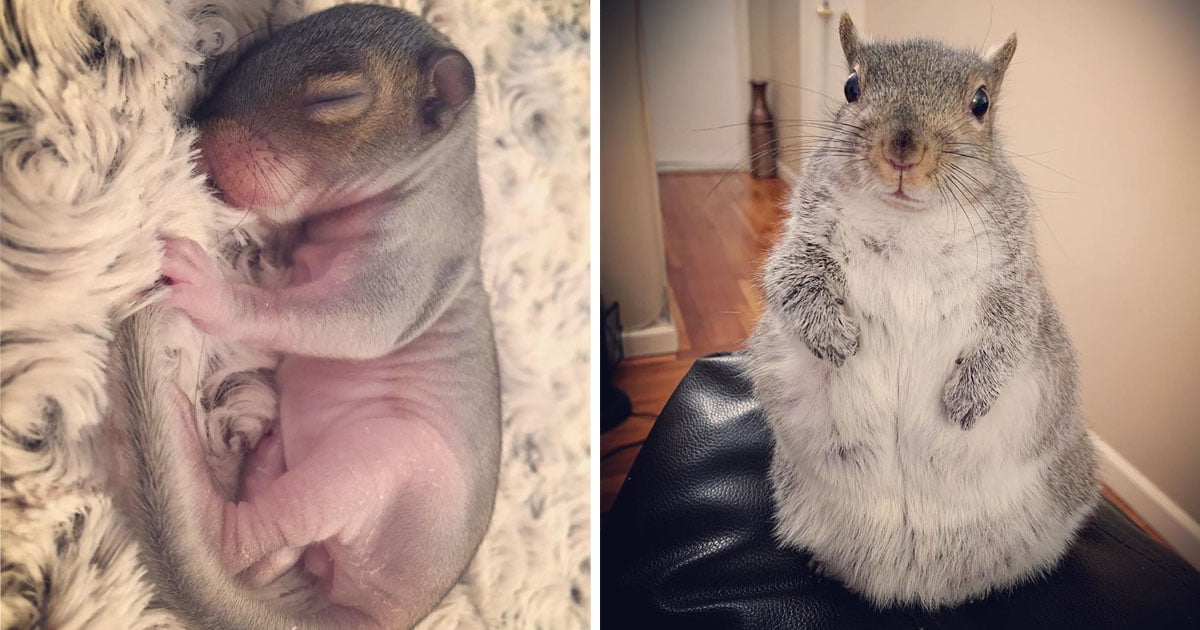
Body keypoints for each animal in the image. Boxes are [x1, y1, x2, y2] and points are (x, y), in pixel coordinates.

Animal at [111, 5, 499, 629]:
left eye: (337, 98)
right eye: (252, 54)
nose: (195, 129)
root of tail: (385, 616)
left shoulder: (419, 253)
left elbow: (355, 323)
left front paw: (213, 292)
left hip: (376, 465)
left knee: (240, 546)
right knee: (273, 555)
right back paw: (265, 461)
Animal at [747, 14, 1098, 609]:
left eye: (981, 102)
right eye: (851, 86)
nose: (903, 150)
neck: (905, 219)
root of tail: (917, 585)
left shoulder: (1015, 277)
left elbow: (1015, 326)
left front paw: (969, 395)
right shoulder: (803, 238)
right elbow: (790, 279)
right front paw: (834, 337)